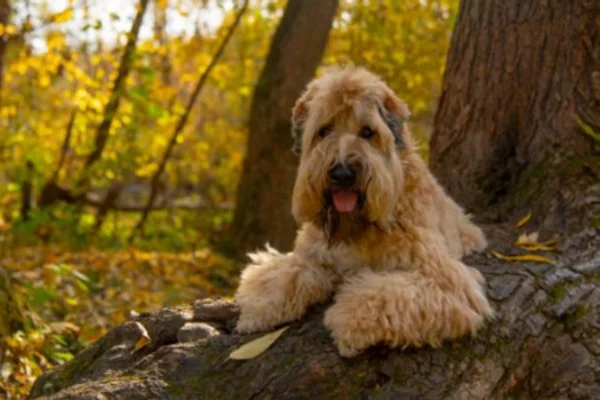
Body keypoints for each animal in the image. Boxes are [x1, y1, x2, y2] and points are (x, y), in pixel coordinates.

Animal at [234, 67, 492, 358]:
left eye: (368, 132)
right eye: (324, 130)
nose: (342, 174)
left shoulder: (441, 278)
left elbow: (384, 294)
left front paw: (349, 324)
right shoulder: (310, 254)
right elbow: (282, 275)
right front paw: (257, 311)